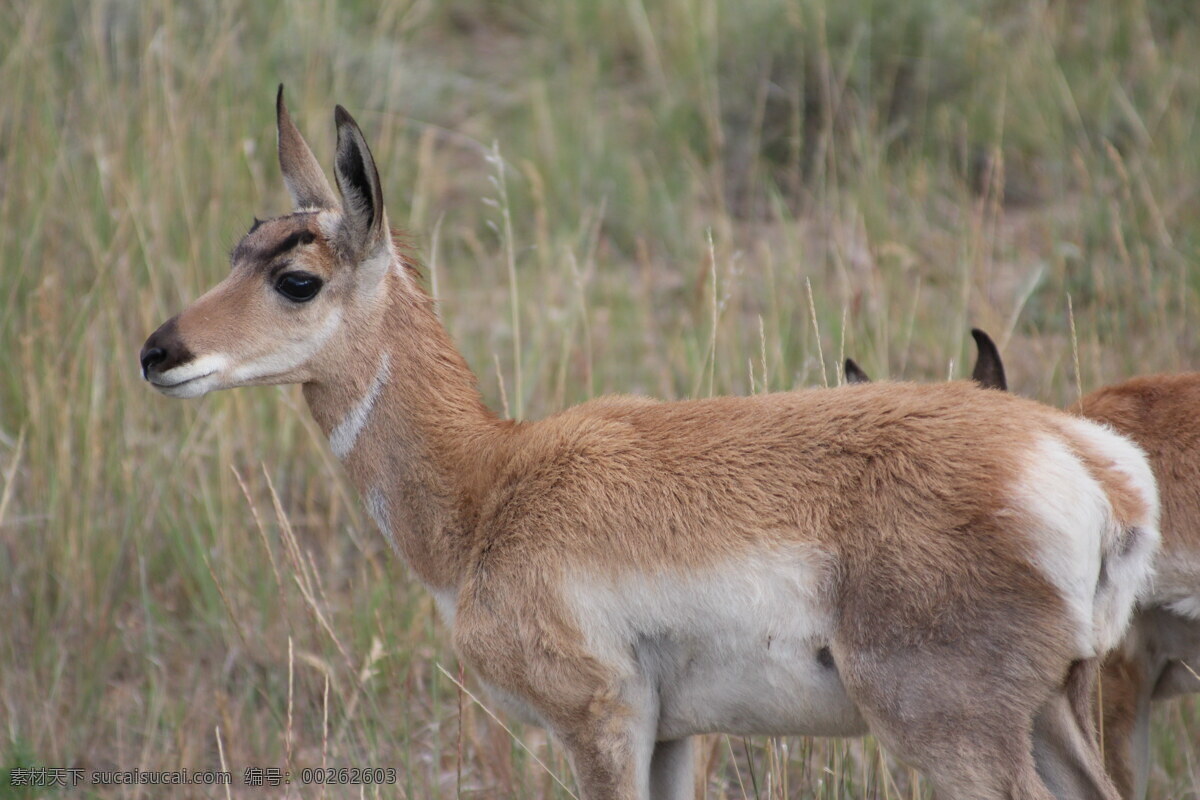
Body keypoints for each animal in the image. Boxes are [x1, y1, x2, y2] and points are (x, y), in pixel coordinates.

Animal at [142, 90, 1161, 800]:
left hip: (957, 736)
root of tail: (1087, 464)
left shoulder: (602, 722)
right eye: (240, 246)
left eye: (297, 278)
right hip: (1055, 714)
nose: (159, 352)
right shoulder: (676, 735)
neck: (490, 486)